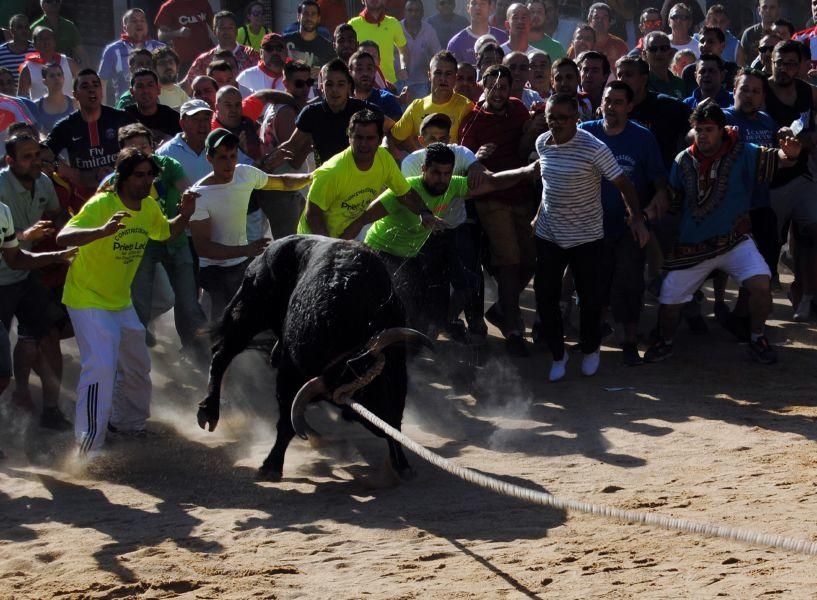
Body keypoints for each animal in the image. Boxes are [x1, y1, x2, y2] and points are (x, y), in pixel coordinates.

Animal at [197, 237, 430, 480]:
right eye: (361, 394)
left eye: (385, 386)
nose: (382, 420)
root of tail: (266, 252)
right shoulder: (289, 377)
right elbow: (286, 424)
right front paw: (271, 465)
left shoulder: (397, 373)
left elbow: (397, 424)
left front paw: (402, 464)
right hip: (247, 316)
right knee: (221, 355)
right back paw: (208, 412)